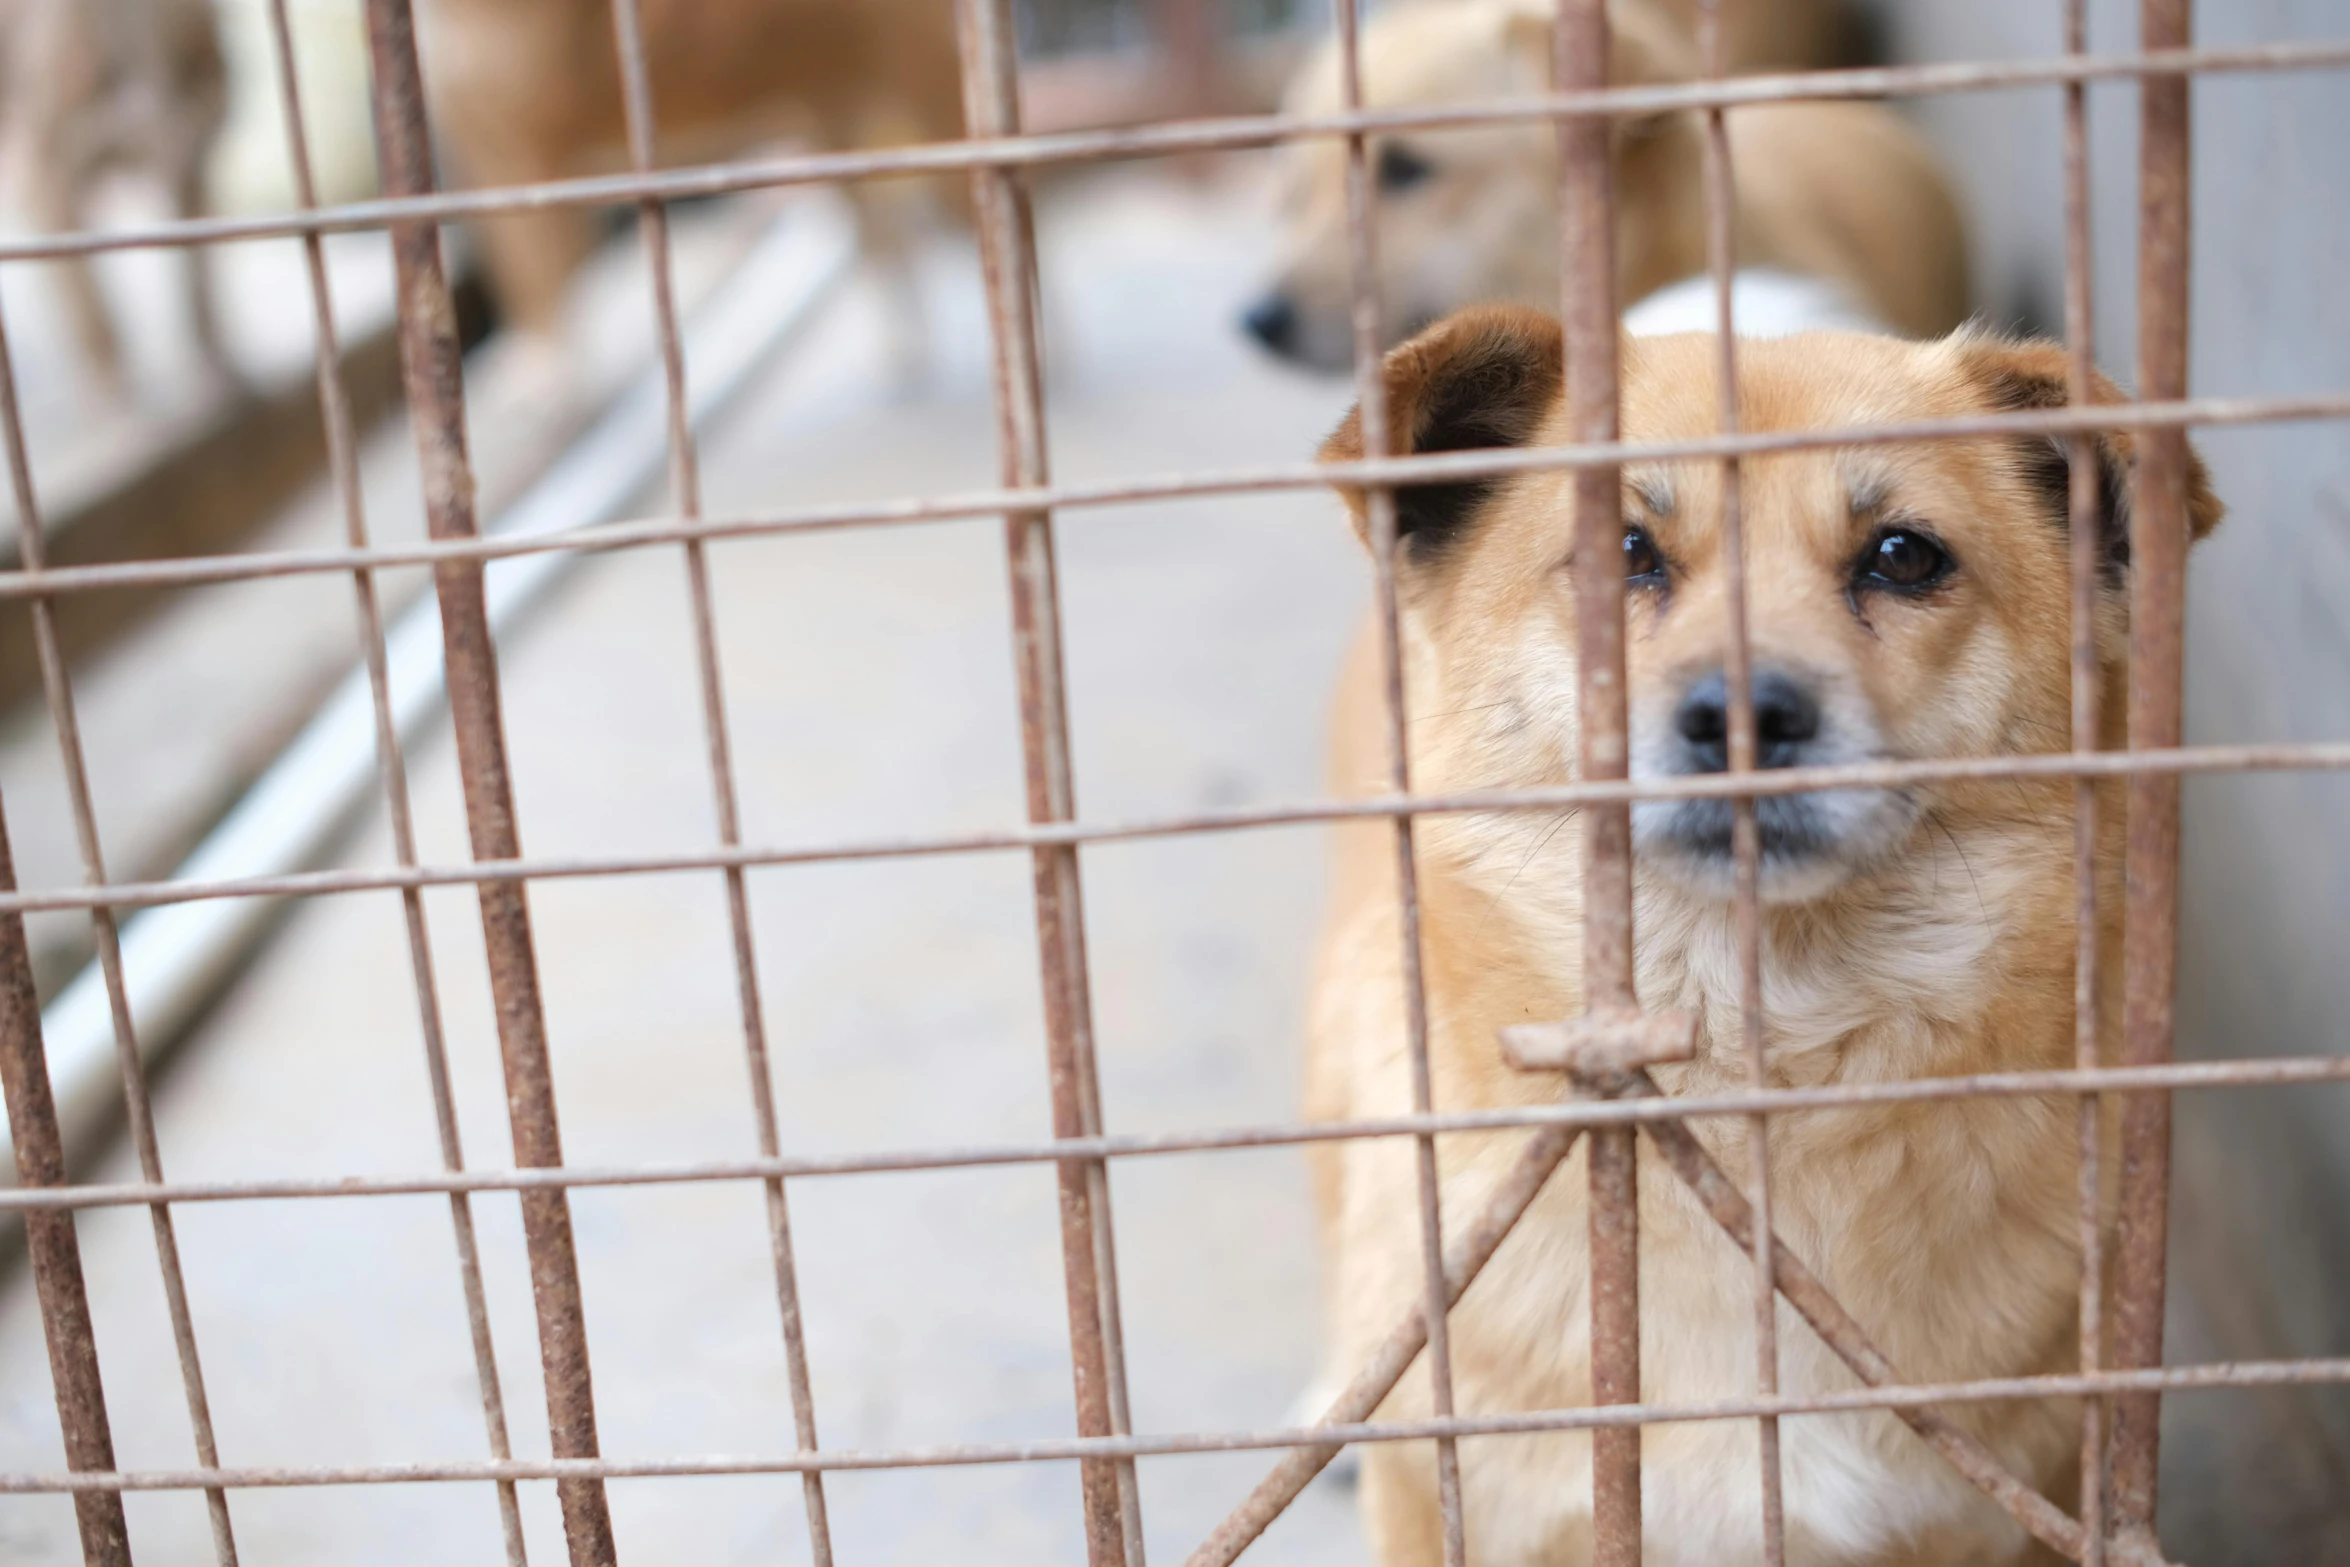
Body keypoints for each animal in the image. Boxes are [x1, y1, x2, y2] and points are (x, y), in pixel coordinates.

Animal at [0, 0, 233, 399]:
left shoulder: (190, 158)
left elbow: (197, 284)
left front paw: (215, 366)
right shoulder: (49, 178)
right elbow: (92, 307)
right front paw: (114, 388)